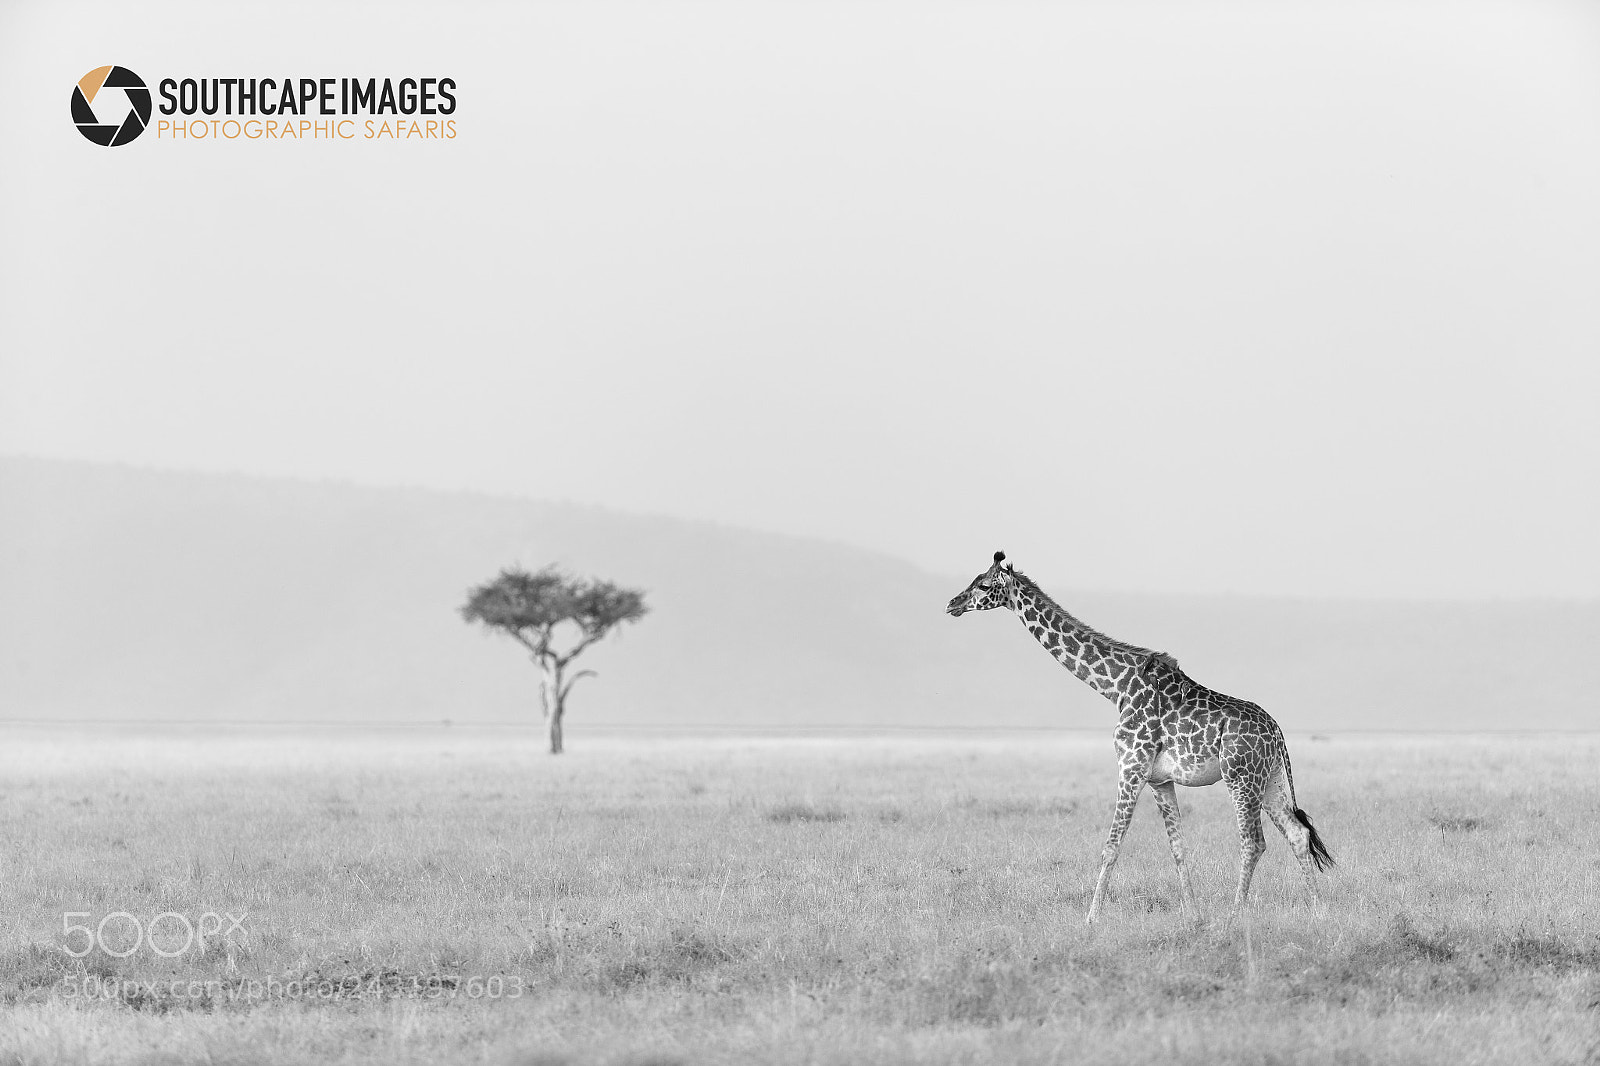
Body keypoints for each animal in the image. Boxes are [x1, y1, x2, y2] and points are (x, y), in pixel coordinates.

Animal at [947, 551, 1331, 922]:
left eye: (983, 585)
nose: (952, 603)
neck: (1116, 687)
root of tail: (1277, 731)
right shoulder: (1159, 779)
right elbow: (1177, 847)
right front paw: (1193, 917)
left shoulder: (1131, 767)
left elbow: (1111, 845)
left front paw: (1091, 919)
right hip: (1270, 778)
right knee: (1297, 833)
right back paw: (1318, 911)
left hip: (1241, 776)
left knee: (1253, 842)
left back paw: (1235, 916)